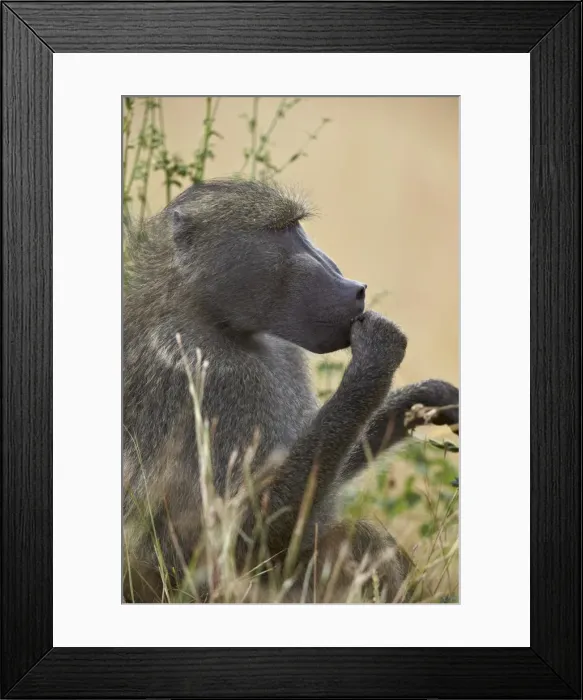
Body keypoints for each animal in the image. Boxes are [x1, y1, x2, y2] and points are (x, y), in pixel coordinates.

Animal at [122, 178, 459, 603]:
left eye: (297, 226)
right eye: (281, 230)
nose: (356, 289)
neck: (214, 321)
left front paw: (428, 397)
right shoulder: (204, 375)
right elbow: (245, 534)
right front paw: (378, 354)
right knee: (360, 539)